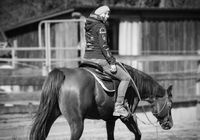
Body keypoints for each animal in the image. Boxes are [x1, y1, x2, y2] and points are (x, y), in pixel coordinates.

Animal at [29, 61, 173, 139]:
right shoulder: (127, 118)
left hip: (51, 115)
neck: (133, 84)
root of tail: (63, 73)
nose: (169, 124)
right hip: (77, 124)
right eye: (170, 105)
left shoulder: (110, 119)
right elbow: (138, 134)